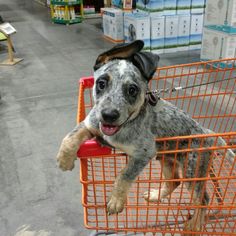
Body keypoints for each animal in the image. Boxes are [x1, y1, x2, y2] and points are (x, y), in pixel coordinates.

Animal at [55, 40, 234, 234]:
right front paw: (64, 159)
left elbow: (124, 174)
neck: (121, 129)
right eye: (101, 83)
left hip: (192, 171)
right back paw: (156, 196)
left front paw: (116, 200)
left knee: (203, 199)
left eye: (132, 90)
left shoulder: (143, 154)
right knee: (174, 182)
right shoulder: (90, 122)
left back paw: (194, 224)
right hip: (167, 159)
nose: (109, 115)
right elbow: (71, 135)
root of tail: (207, 132)